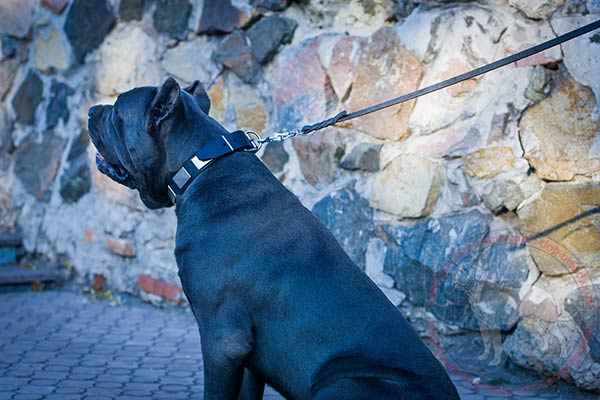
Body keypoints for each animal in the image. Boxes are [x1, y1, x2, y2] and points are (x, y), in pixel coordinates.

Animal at [88, 76, 460, 398]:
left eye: (117, 111)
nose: (92, 110)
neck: (202, 167)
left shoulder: (222, 340)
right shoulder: (249, 359)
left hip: (339, 382)